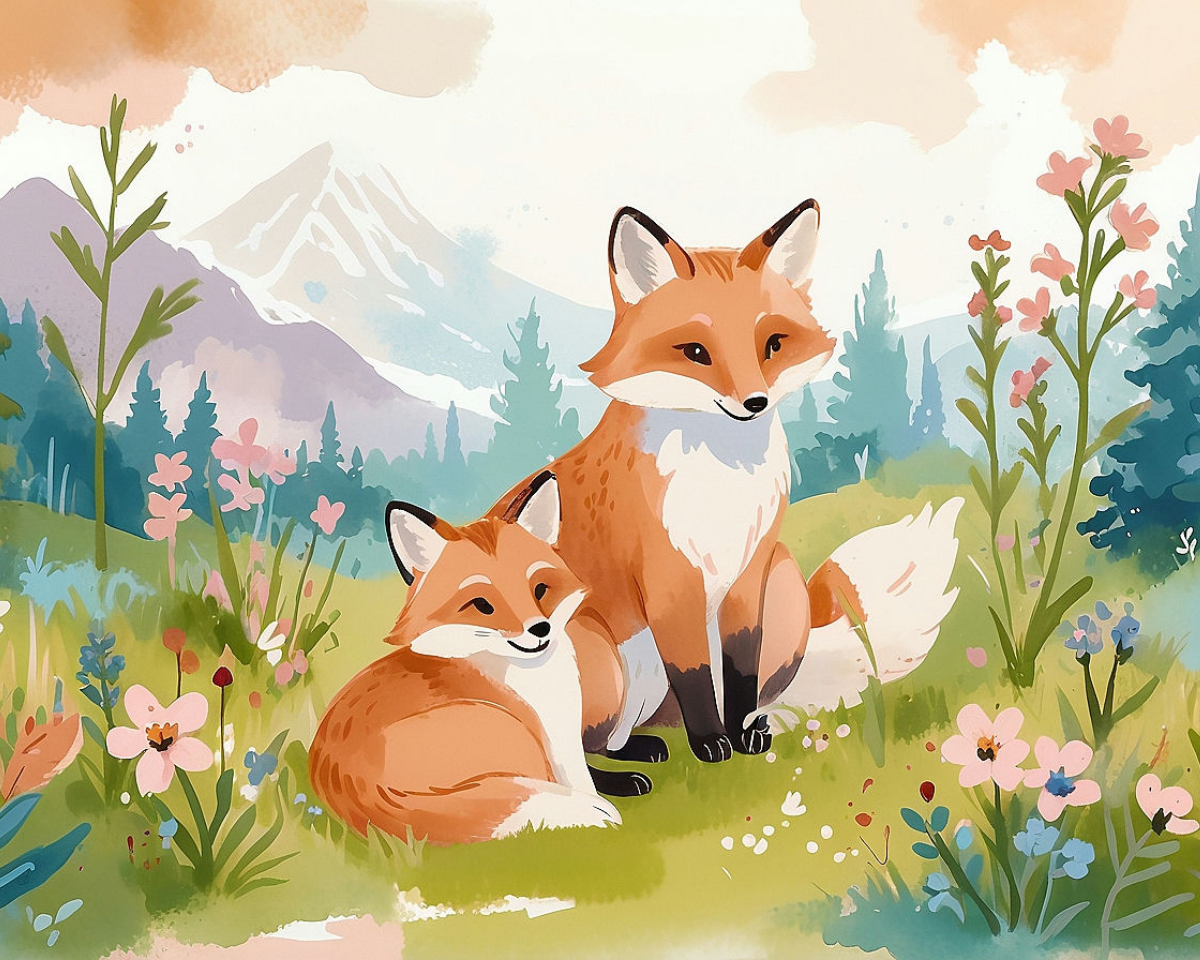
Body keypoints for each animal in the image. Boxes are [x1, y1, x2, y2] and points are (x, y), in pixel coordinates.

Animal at [309, 471, 647, 845]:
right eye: (482, 605)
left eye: (540, 590)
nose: (540, 629)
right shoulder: (552, 735)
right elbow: (579, 782)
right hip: (514, 734)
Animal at [495, 200, 964, 765]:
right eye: (696, 352)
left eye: (773, 344)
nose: (754, 402)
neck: (722, 489)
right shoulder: (670, 583)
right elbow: (694, 672)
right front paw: (711, 742)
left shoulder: (749, 572)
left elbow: (742, 666)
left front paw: (742, 735)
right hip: (597, 648)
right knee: (582, 743)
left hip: (782, 572)